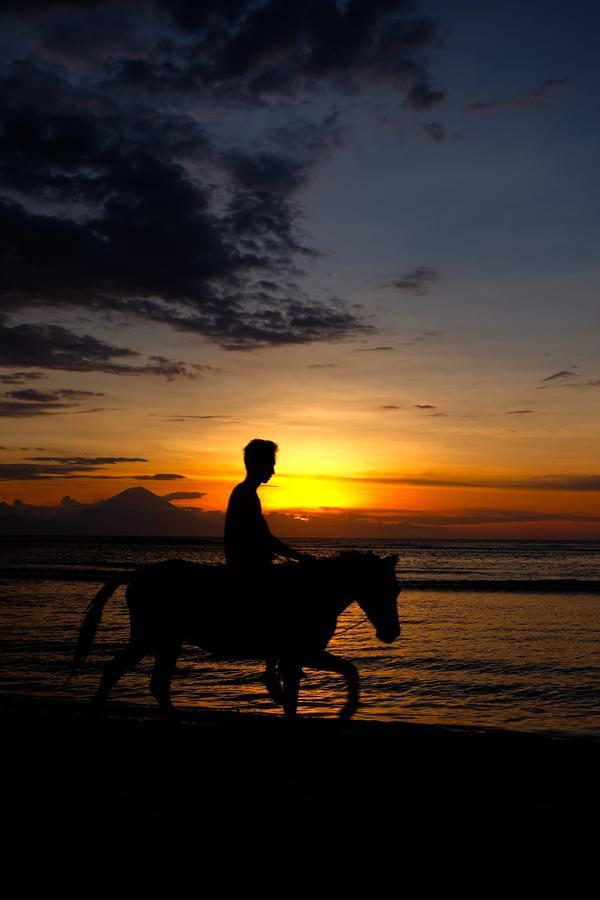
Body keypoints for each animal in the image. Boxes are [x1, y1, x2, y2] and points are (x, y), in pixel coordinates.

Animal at [72, 548, 400, 716]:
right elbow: (346, 672)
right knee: (117, 670)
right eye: (385, 589)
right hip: (152, 637)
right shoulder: (303, 652)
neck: (316, 590)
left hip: (168, 640)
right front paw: (347, 710)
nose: (392, 633)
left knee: (156, 682)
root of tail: (136, 575)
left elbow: (295, 693)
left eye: (396, 590)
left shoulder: (296, 656)